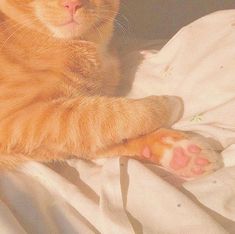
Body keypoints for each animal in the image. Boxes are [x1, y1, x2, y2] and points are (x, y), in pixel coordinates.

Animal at [0, 0, 222, 179]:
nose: (72, 3)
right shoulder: (23, 120)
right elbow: (107, 113)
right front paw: (167, 104)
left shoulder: (55, 138)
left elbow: (104, 135)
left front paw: (181, 155)